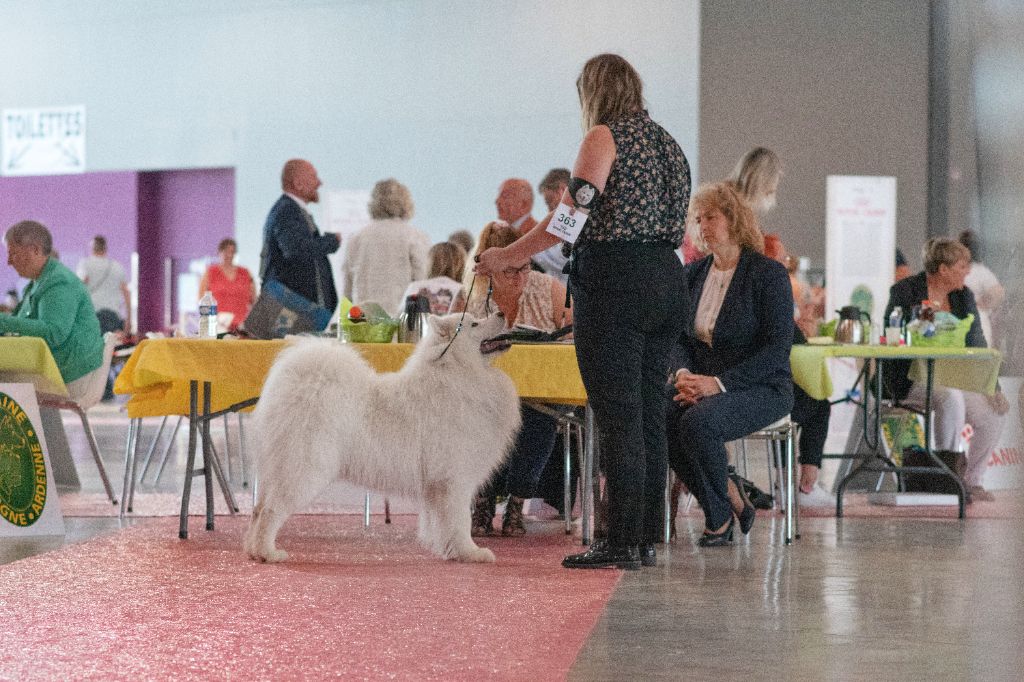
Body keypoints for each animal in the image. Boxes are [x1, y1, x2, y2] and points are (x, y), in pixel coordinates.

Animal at [242, 311, 520, 561]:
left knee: (257, 509)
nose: (501, 312)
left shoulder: (437, 485)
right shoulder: (455, 479)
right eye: (474, 323)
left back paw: (254, 551)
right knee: (270, 509)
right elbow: (460, 521)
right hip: (306, 469)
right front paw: (470, 552)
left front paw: (447, 550)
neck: (458, 372)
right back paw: (269, 553)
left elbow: (439, 523)